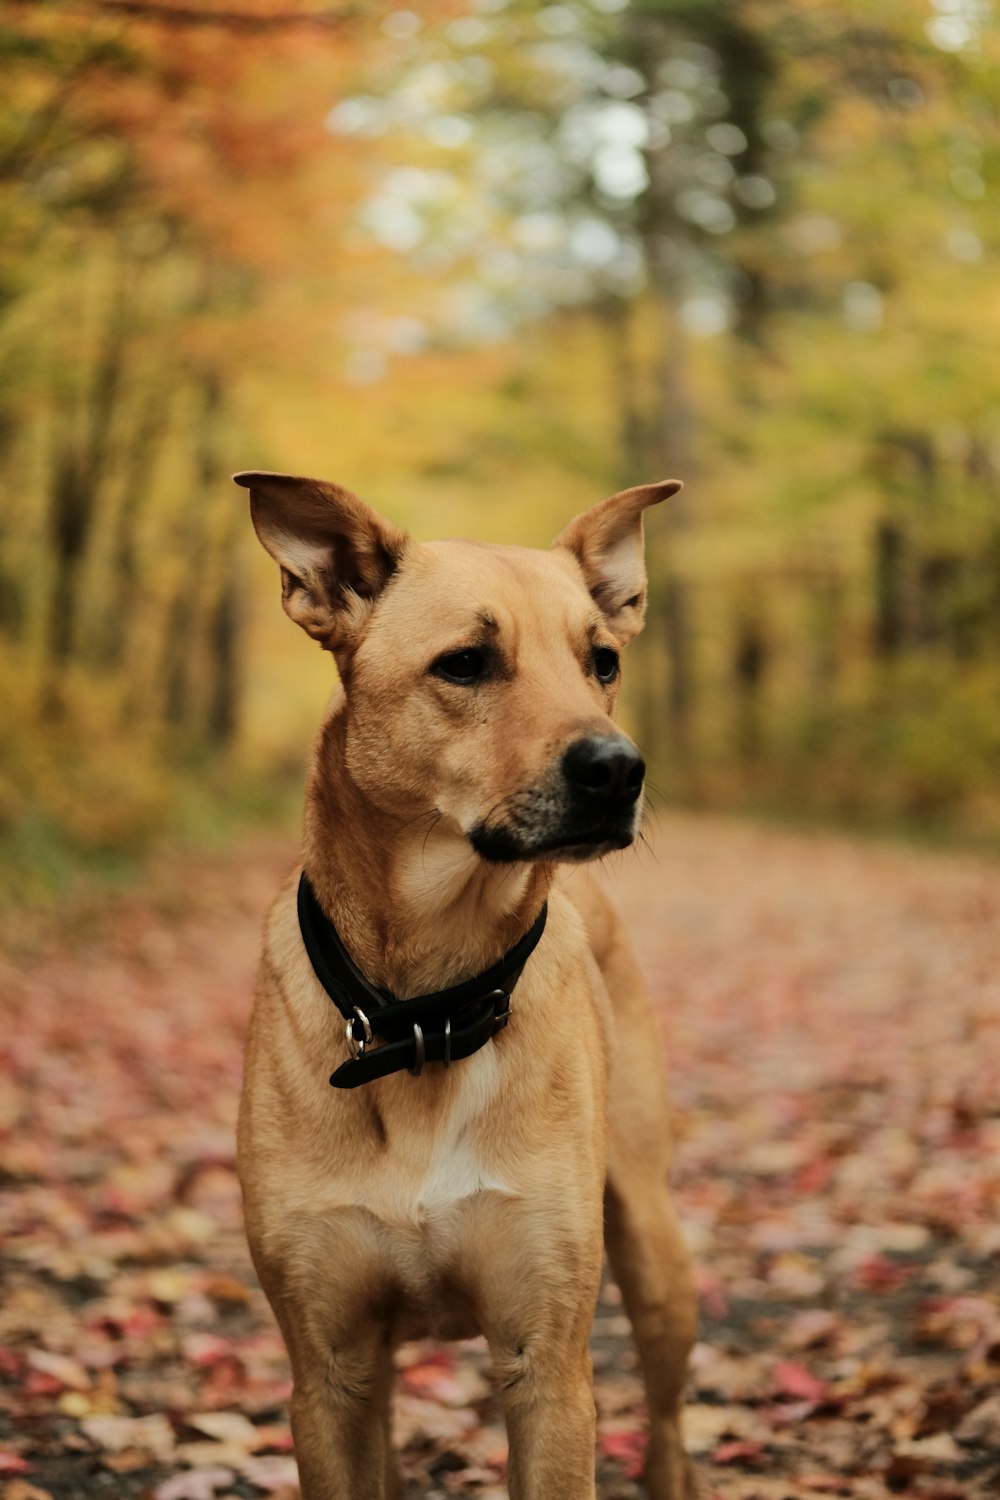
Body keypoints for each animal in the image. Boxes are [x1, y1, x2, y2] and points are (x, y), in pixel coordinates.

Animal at [233, 471, 695, 1500]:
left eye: (603, 661)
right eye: (466, 664)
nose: (619, 768)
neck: (427, 1011)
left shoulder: (546, 1367)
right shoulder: (328, 1370)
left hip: (653, 1250)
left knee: (670, 1422)